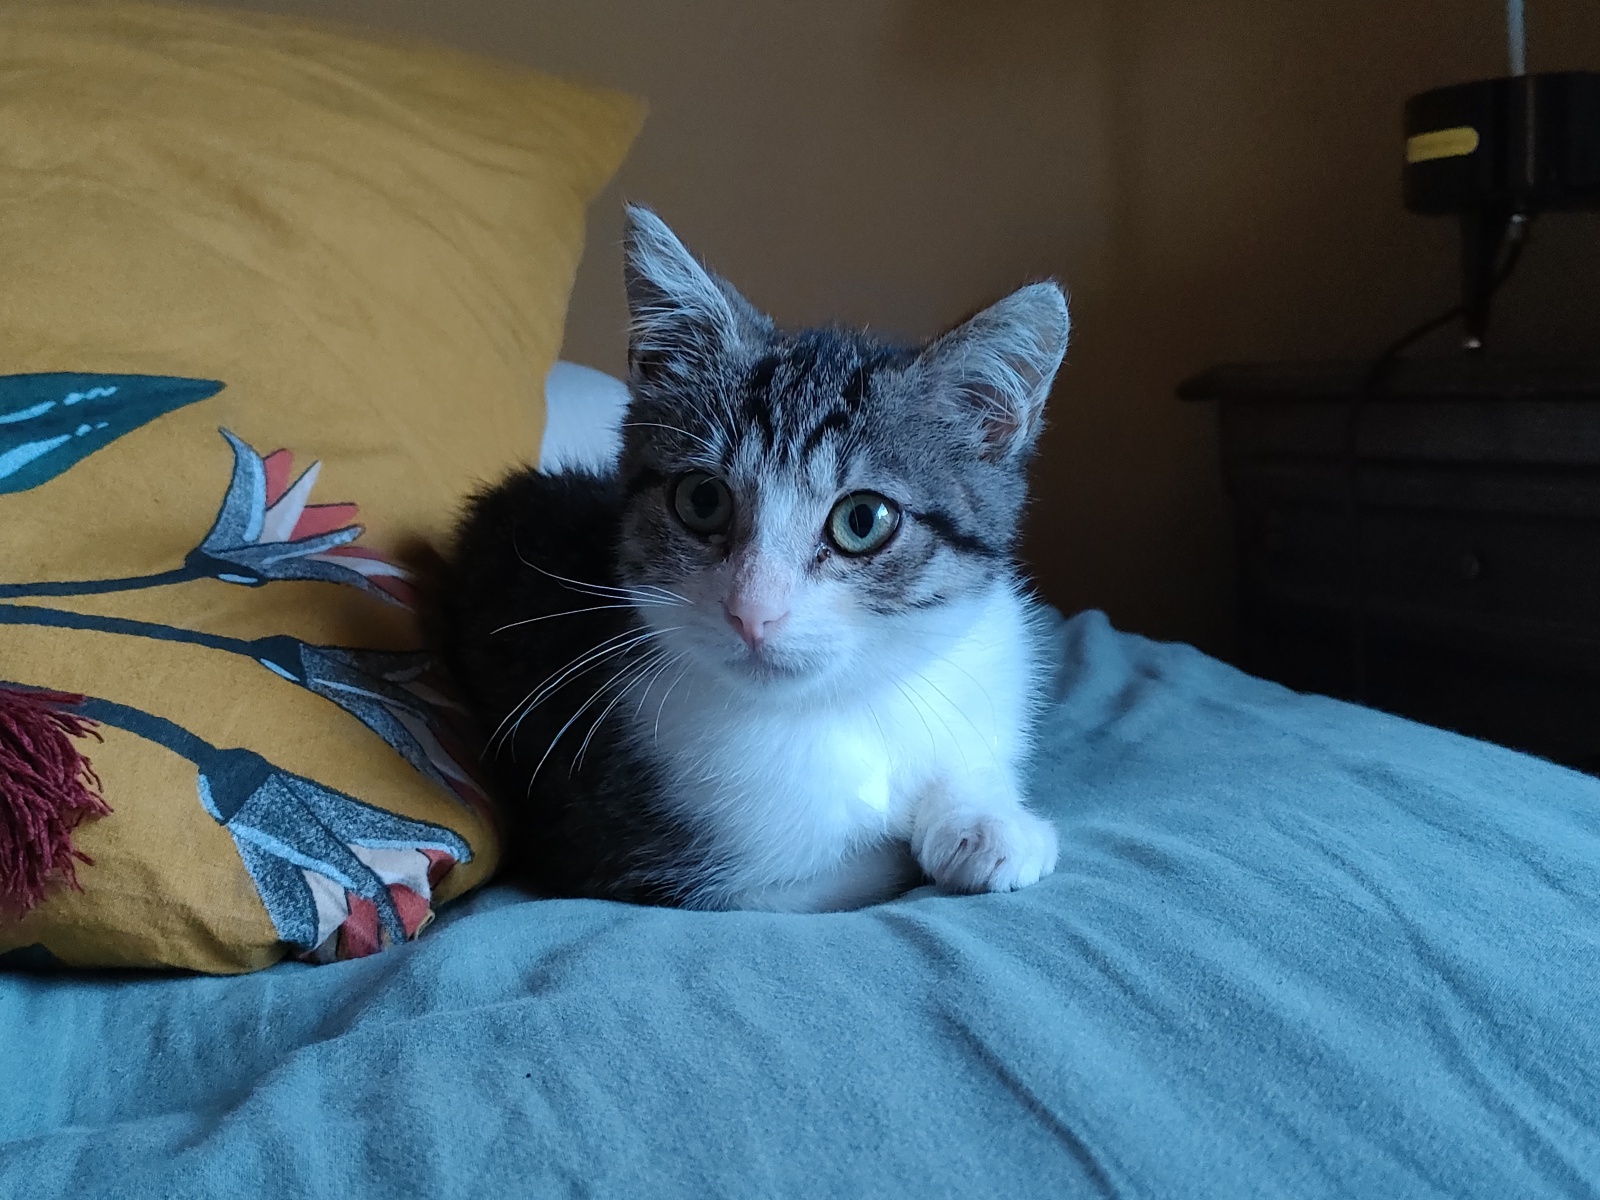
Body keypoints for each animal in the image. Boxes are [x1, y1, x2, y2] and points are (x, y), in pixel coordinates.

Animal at [437, 205, 1069, 912]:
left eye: (863, 520)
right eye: (702, 500)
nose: (752, 613)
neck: (843, 705)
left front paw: (987, 822)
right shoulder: (626, 858)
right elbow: (858, 870)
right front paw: (922, 840)